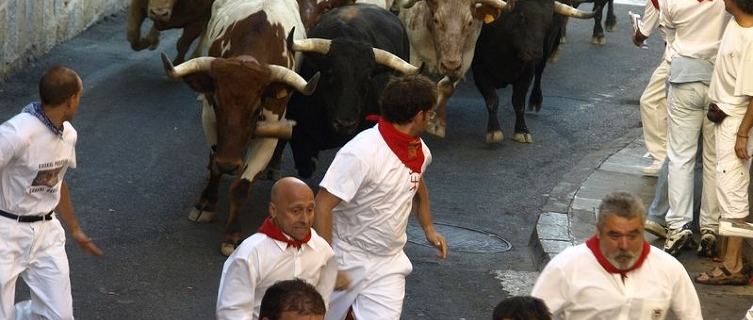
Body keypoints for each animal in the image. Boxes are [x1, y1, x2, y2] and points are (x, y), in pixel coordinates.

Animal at [160, 0, 318, 256]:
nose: (228, 163)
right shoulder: (209, 117)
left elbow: (242, 186)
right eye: (217, 104)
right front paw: (206, 203)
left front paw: (232, 234)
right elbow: (215, 164)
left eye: (256, 109)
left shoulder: (270, 131)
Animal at [396, 0, 516, 138]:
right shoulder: (414, 54)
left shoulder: (465, 59)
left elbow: (447, 87)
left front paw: (437, 124)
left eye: (470, 22)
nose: (450, 65)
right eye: (436, 20)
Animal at [470, 0, 592, 144]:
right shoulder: (479, 70)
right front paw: (494, 131)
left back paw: (535, 99)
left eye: (548, 19)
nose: (535, 54)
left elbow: (518, 102)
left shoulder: (527, 72)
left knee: (540, 71)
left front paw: (522, 131)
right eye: (521, 16)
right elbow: (492, 99)